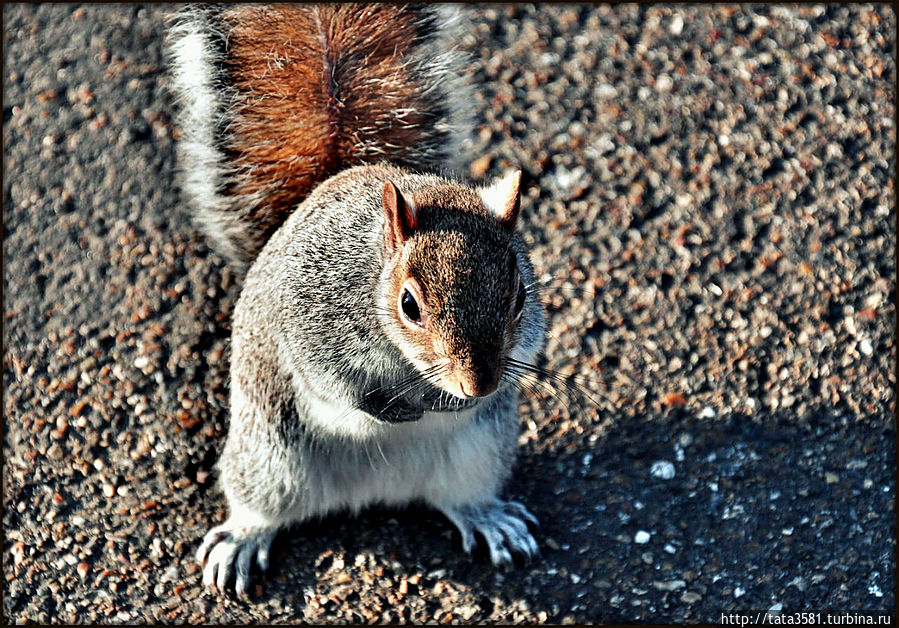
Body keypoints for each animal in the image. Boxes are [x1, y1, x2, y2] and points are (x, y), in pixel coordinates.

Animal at [169, 2, 548, 596]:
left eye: (518, 297)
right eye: (410, 305)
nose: (478, 385)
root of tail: (374, 491)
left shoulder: (525, 338)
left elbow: (525, 353)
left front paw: (460, 399)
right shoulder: (309, 322)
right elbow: (334, 387)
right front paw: (391, 407)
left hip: (480, 454)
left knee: (460, 498)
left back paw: (489, 518)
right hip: (268, 458)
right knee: (261, 505)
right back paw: (242, 540)